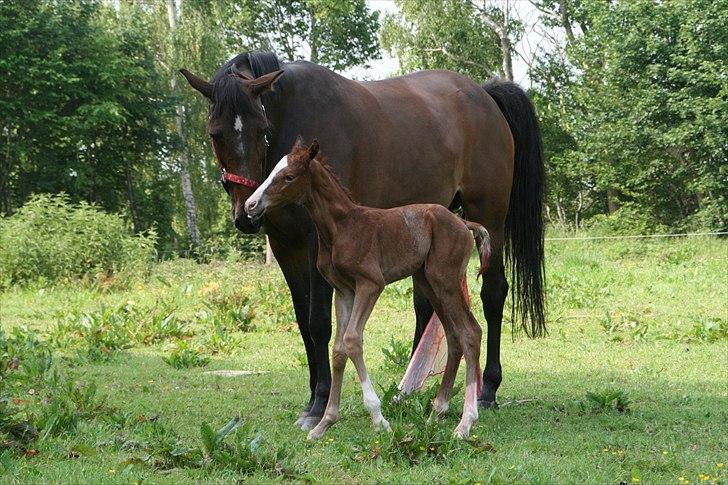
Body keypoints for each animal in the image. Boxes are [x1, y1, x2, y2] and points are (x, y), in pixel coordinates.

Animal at [247, 140, 492, 438]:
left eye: (288, 177)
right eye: (273, 170)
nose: (250, 204)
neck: (340, 228)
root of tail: (464, 224)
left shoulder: (370, 284)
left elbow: (352, 340)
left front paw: (378, 418)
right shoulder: (344, 291)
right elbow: (339, 348)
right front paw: (324, 422)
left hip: (445, 281)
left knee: (470, 332)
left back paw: (465, 422)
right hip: (429, 282)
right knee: (454, 335)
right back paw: (438, 412)